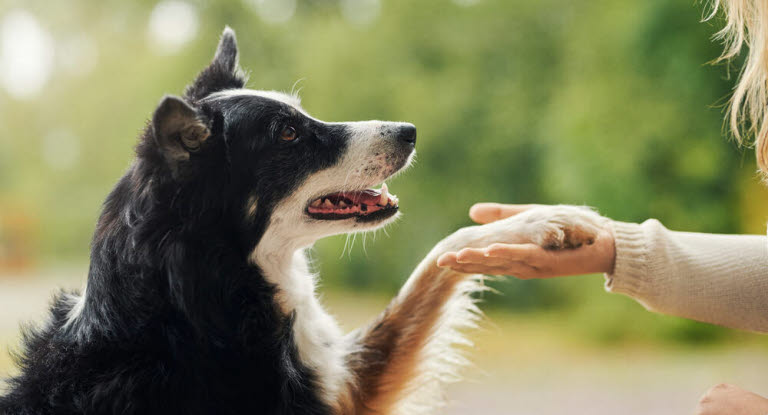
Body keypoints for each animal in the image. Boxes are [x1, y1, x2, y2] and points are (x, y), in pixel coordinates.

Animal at [0, 27, 604, 414]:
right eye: (288, 135)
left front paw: (547, 219)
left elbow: (441, 254)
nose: (410, 131)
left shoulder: (345, 380)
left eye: (302, 115)